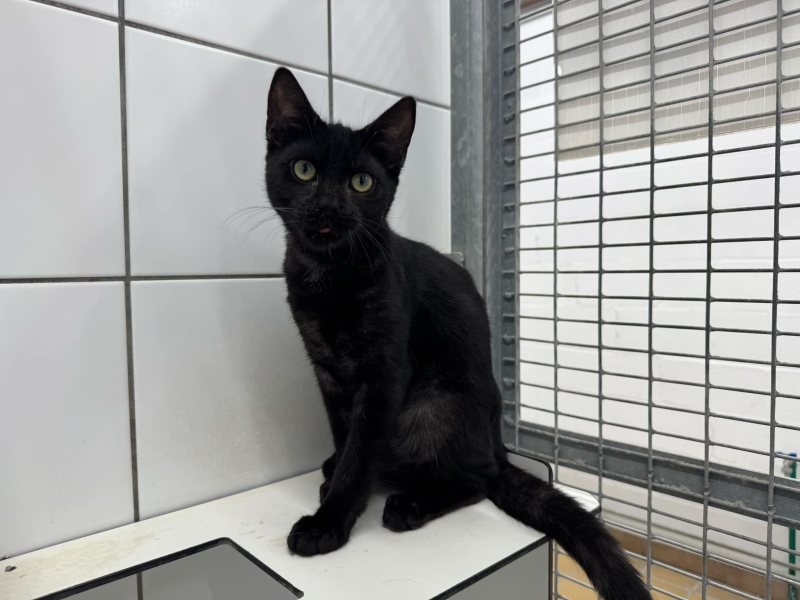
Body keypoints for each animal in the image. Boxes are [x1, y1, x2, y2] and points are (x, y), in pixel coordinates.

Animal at [265, 67, 651, 599]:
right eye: (304, 170)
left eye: (361, 182)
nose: (327, 207)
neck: (327, 277)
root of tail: (497, 443)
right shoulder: (325, 369)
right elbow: (345, 436)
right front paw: (333, 475)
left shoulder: (383, 375)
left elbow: (361, 451)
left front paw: (329, 520)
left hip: (431, 405)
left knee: (478, 479)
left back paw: (409, 504)